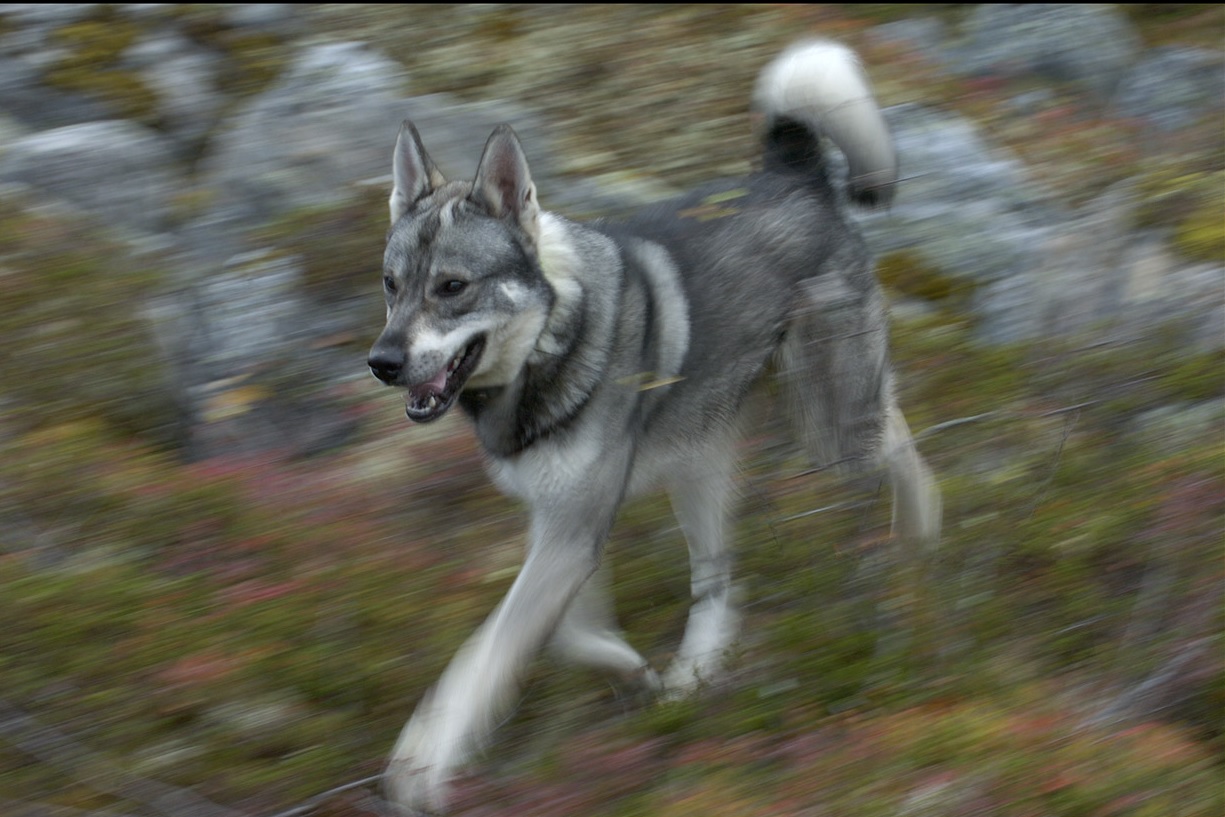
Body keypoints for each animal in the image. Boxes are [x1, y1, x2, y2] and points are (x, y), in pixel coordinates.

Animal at [367, 39, 940, 817]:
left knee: (894, 437)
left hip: (828, 428)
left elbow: (482, 657)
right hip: (700, 468)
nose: (382, 363)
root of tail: (792, 173)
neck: (551, 341)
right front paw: (629, 668)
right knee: (722, 579)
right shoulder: (562, 525)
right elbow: (564, 633)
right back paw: (693, 674)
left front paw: (419, 764)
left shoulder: (571, 531)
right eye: (392, 284)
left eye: (452, 287)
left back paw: (918, 530)